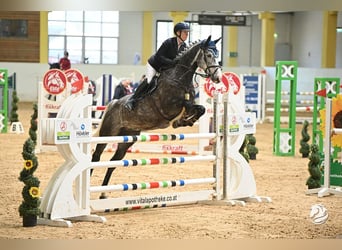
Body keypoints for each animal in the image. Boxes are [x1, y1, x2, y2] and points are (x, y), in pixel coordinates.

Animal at [92, 35, 223, 199]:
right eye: (209, 55)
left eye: (217, 55)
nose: (218, 78)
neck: (180, 78)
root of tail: (113, 103)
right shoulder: (168, 107)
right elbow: (187, 105)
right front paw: (181, 121)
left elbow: (201, 108)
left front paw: (186, 121)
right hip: (108, 133)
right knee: (96, 157)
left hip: (127, 138)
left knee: (113, 163)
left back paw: (103, 193)